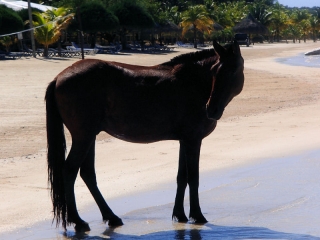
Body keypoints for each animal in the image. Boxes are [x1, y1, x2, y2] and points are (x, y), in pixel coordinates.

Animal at [45, 40, 244, 232]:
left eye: (234, 71)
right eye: (215, 72)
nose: (212, 110)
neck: (192, 82)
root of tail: (58, 77)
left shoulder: (184, 140)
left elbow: (182, 177)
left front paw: (179, 215)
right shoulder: (193, 140)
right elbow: (193, 178)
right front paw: (197, 216)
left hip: (89, 137)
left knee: (87, 174)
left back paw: (111, 217)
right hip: (83, 137)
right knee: (69, 170)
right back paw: (78, 221)